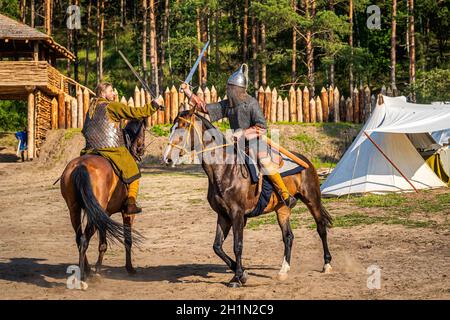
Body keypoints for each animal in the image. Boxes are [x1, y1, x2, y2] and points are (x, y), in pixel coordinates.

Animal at [60, 119, 146, 280]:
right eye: (143, 132)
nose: (141, 150)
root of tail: (80, 166)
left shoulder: (104, 214)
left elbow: (103, 243)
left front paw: (98, 270)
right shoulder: (126, 214)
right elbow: (128, 240)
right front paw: (130, 268)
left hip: (75, 210)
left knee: (78, 238)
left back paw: (86, 269)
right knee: (83, 240)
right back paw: (83, 275)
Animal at [163, 109, 332, 288]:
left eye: (183, 127)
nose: (167, 158)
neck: (225, 169)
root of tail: (307, 162)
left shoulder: (237, 214)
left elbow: (237, 245)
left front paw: (238, 277)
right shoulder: (223, 216)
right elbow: (217, 246)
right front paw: (241, 272)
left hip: (312, 200)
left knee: (321, 228)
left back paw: (327, 264)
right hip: (282, 208)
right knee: (288, 236)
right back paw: (283, 270)